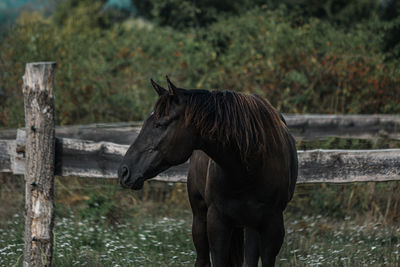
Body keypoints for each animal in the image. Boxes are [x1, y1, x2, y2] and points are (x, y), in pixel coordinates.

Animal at [117, 77, 298, 267]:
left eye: (160, 124)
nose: (124, 171)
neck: (250, 168)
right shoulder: (216, 222)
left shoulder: (272, 226)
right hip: (200, 218)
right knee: (202, 257)